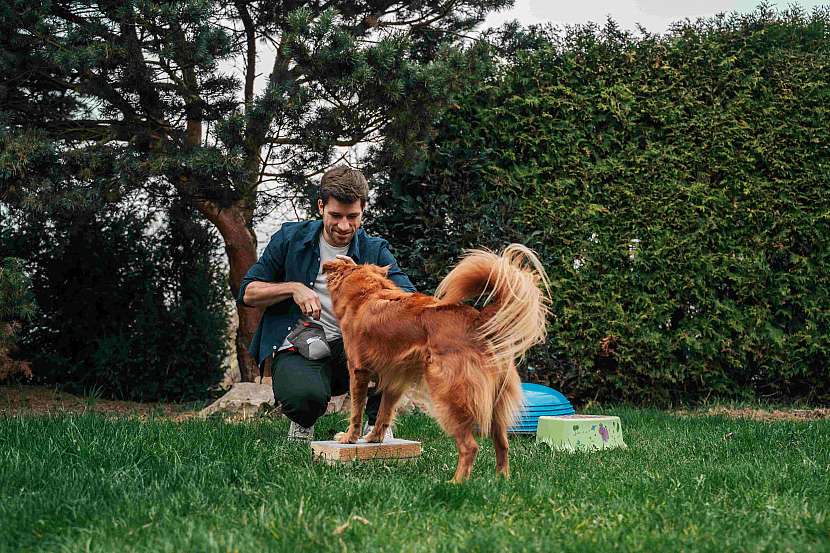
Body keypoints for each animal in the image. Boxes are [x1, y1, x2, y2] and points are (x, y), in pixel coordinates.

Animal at [324, 244, 552, 480]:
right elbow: (383, 413)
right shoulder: (395, 379)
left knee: (470, 446)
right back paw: (501, 480)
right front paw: (374, 438)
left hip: (447, 395)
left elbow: (356, 411)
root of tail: (478, 320)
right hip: (496, 404)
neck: (367, 294)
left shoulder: (358, 371)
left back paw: (456, 482)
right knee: (503, 443)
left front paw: (349, 438)